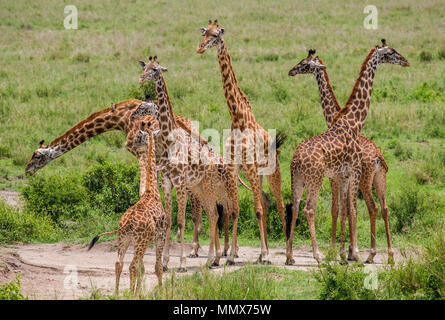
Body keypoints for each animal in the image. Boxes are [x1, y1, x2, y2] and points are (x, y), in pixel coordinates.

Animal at [23, 100, 205, 258]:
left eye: (37, 156)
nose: (27, 170)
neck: (122, 118)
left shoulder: (141, 151)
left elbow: (143, 190)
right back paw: (196, 247)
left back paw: (193, 249)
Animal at [87, 121, 166, 296]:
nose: (133, 145)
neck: (152, 191)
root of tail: (127, 223)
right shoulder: (161, 236)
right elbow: (157, 267)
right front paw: (161, 292)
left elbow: (144, 268)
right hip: (140, 242)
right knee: (132, 266)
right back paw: (131, 294)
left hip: (124, 239)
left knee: (119, 263)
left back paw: (117, 294)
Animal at [136, 55, 239, 270]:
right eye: (145, 68)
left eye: (156, 70)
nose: (141, 79)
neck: (169, 140)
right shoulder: (166, 182)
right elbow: (168, 220)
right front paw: (165, 262)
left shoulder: (180, 183)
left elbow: (182, 221)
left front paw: (182, 262)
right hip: (201, 189)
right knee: (214, 215)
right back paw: (214, 259)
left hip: (217, 188)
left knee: (227, 213)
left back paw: (228, 256)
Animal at [195, 20, 286, 264]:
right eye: (204, 32)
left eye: (216, 35)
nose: (199, 48)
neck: (237, 118)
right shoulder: (234, 167)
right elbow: (235, 209)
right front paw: (231, 256)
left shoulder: (251, 166)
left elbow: (257, 210)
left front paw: (264, 255)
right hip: (255, 174)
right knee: (265, 201)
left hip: (271, 171)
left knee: (280, 206)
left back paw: (286, 253)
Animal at [286, 40, 408, 264]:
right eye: (391, 52)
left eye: (304, 63)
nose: (405, 61)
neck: (350, 121)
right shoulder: (346, 174)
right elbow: (345, 210)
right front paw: (347, 253)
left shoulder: (343, 175)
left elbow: (345, 210)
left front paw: (344, 253)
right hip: (322, 179)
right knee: (310, 209)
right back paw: (322, 255)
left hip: (304, 179)